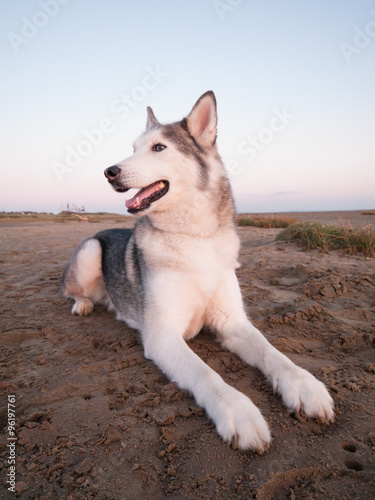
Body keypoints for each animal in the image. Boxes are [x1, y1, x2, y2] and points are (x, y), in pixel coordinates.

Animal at [63, 91, 336, 454]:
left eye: (159, 147)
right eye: (133, 148)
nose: (109, 171)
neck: (195, 239)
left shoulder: (232, 323)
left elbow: (272, 353)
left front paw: (304, 385)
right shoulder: (162, 336)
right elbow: (206, 373)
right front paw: (238, 412)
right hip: (91, 251)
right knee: (72, 290)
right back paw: (83, 304)